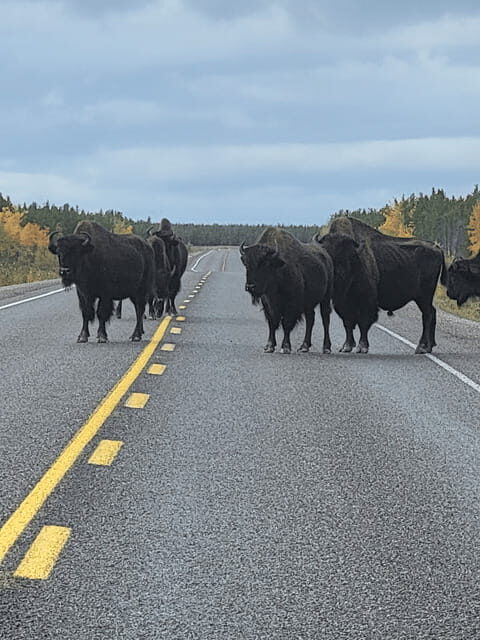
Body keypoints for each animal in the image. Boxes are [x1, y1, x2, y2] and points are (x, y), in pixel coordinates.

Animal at [316, 216, 447, 354]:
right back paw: (429, 346)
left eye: (347, 255)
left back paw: (421, 347)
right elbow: (348, 323)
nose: (336, 273)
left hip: (424, 296)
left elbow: (363, 323)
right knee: (432, 313)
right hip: (423, 298)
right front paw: (347, 346)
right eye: (327, 253)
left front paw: (362, 347)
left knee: (427, 315)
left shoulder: (366, 302)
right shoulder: (343, 303)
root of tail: (437, 248)